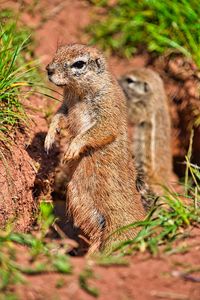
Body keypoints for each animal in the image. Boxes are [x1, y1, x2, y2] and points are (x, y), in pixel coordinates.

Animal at [44, 42, 145, 253]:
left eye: (79, 64)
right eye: (58, 51)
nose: (48, 69)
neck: (78, 93)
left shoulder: (107, 108)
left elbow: (99, 130)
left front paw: (71, 149)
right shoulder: (66, 105)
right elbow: (59, 116)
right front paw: (49, 138)